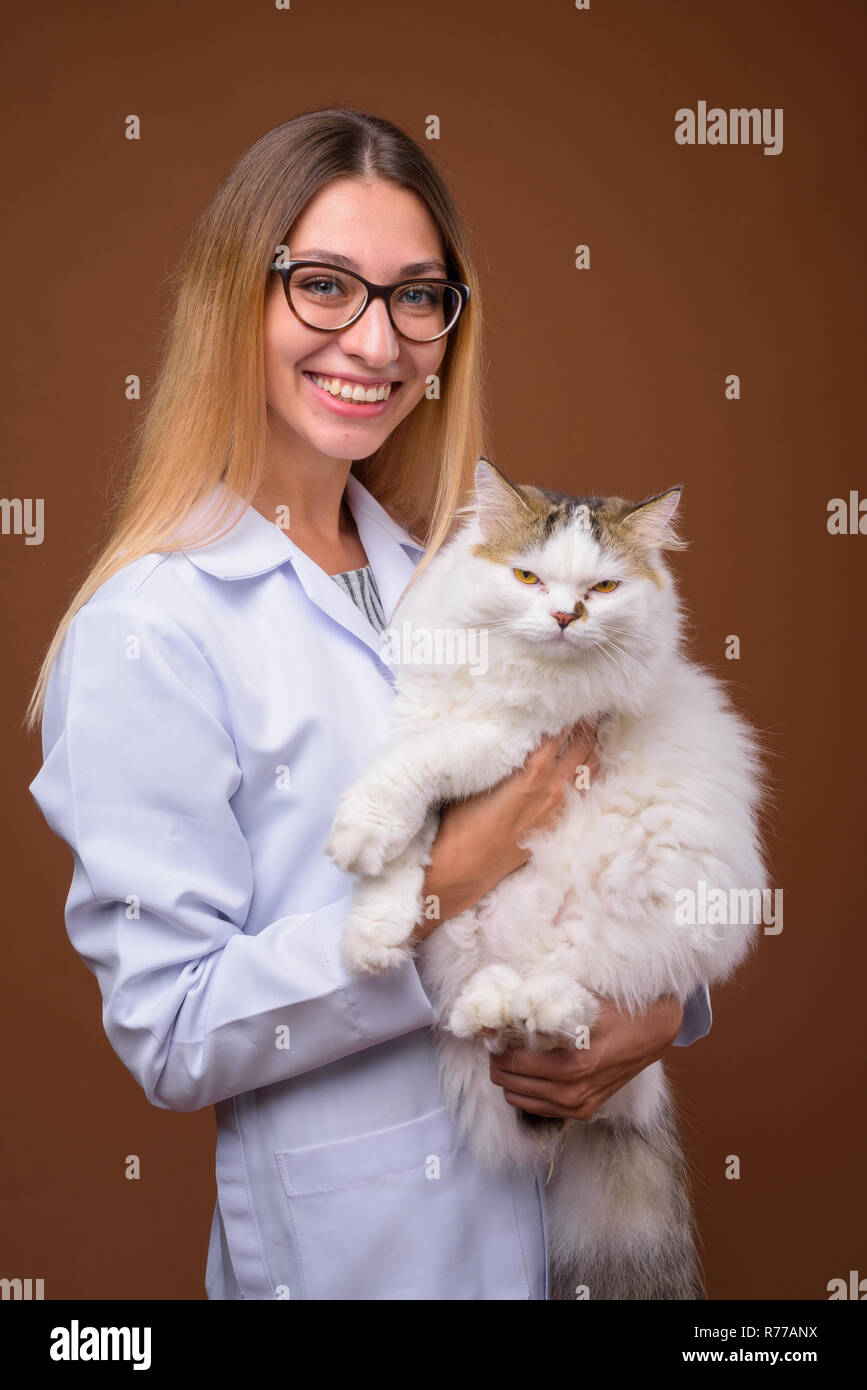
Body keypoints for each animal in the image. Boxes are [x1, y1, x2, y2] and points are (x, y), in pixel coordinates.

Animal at [325, 458, 766, 1301]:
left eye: (601, 589)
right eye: (528, 577)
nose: (563, 616)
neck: (509, 676)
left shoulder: (510, 739)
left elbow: (418, 767)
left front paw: (360, 828)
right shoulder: (437, 739)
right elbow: (406, 853)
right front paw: (372, 928)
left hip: (638, 922)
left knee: (585, 997)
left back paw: (535, 1007)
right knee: (494, 1008)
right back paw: (493, 1006)